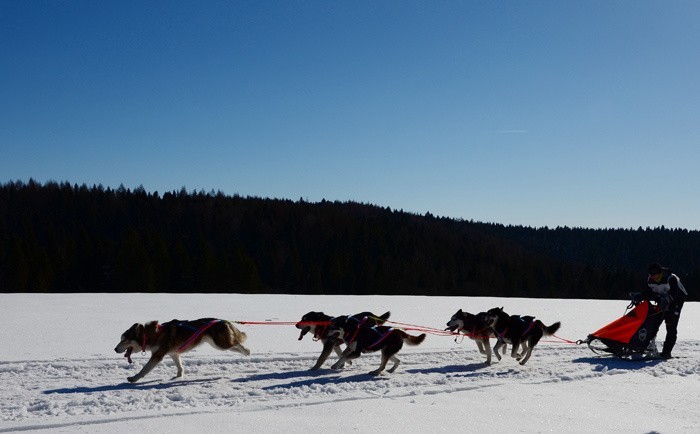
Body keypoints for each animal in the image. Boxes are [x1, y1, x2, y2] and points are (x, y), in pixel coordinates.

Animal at [117, 318, 252, 382]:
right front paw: (179, 375)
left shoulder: (157, 355)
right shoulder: (174, 353)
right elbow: (180, 366)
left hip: (220, 344)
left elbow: (144, 369)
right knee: (235, 346)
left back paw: (246, 351)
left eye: (124, 340)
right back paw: (246, 352)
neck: (151, 335)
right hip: (218, 345)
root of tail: (223, 320)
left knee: (237, 343)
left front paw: (134, 378)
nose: (114, 349)